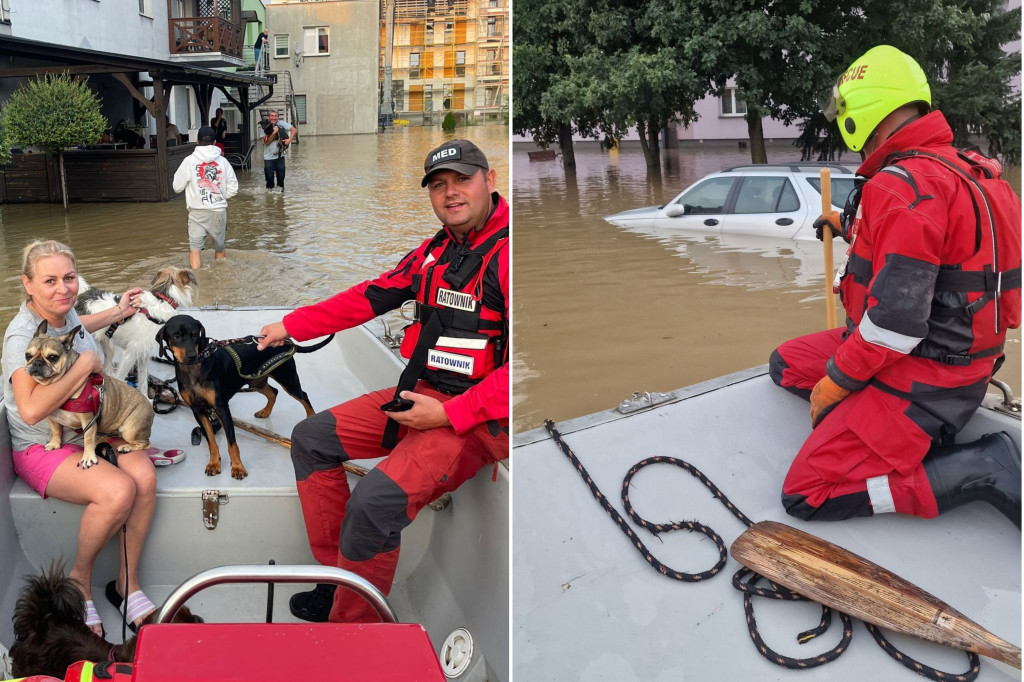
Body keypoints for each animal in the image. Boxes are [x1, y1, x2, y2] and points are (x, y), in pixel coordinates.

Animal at [24, 319, 153, 466]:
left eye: (52, 357)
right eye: (27, 355)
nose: (37, 363)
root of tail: (151, 408)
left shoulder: (89, 421)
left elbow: (88, 438)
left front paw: (88, 457)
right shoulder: (52, 418)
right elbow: (56, 431)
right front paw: (54, 444)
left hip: (130, 429)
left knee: (145, 443)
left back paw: (126, 447)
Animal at [75, 266, 197, 399]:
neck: (163, 299)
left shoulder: (143, 354)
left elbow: (143, 380)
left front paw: (146, 398)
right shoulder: (131, 353)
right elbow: (121, 377)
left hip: (108, 345)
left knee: (107, 368)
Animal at [155, 313, 331, 477]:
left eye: (195, 335)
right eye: (176, 336)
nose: (192, 356)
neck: (195, 368)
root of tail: (285, 342)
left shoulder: (222, 408)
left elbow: (232, 443)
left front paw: (238, 468)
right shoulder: (198, 410)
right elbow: (211, 441)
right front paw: (214, 464)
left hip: (287, 379)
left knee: (303, 396)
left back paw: (310, 419)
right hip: (256, 381)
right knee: (273, 392)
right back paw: (265, 411)